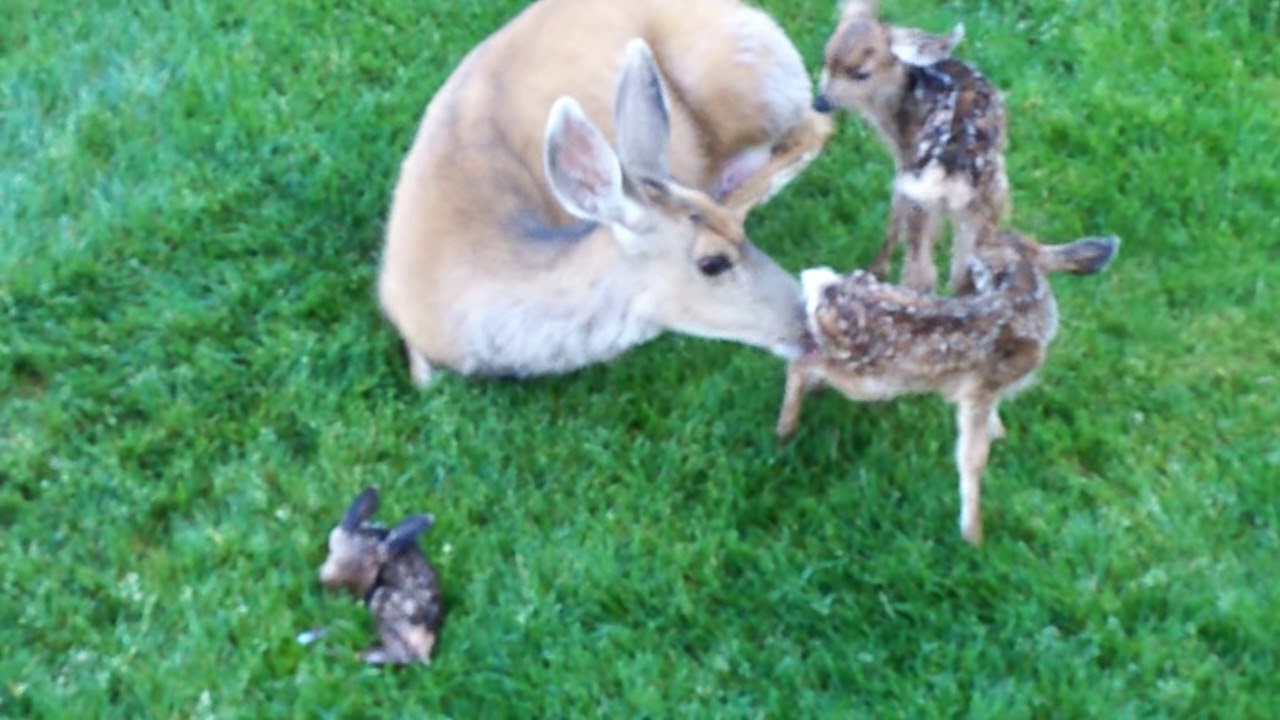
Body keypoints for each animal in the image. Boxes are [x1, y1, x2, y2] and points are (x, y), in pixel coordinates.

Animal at [774, 231, 1119, 544]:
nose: (968, 267)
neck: (1021, 295)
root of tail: (824, 286)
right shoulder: (981, 389)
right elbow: (972, 457)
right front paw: (973, 535)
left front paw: (1000, 433)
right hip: (871, 381)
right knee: (800, 363)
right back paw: (785, 429)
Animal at [813, 0, 1008, 295]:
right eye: (827, 59)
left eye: (861, 73)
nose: (820, 103)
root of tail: (953, 161)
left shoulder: (904, 164)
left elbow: (894, 218)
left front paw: (877, 269)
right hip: (991, 196)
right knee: (964, 276)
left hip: (924, 190)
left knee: (922, 273)